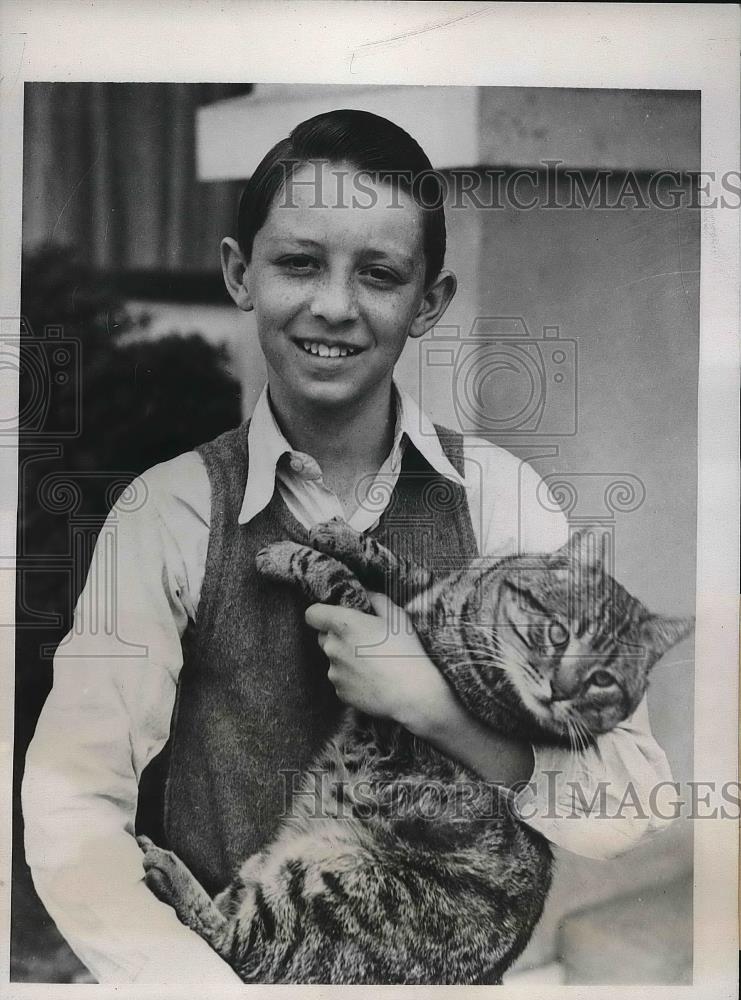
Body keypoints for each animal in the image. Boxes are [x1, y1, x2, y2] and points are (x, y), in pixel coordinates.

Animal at [140, 524, 692, 984]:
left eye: (603, 680)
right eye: (558, 632)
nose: (560, 691)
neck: (471, 610)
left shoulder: (378, 640)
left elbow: (336, 578)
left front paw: (288, 555)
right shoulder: (430, 585)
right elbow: (396, 563)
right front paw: (340, 534)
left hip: (336, 893)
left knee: (240, 951)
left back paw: (170, 874)